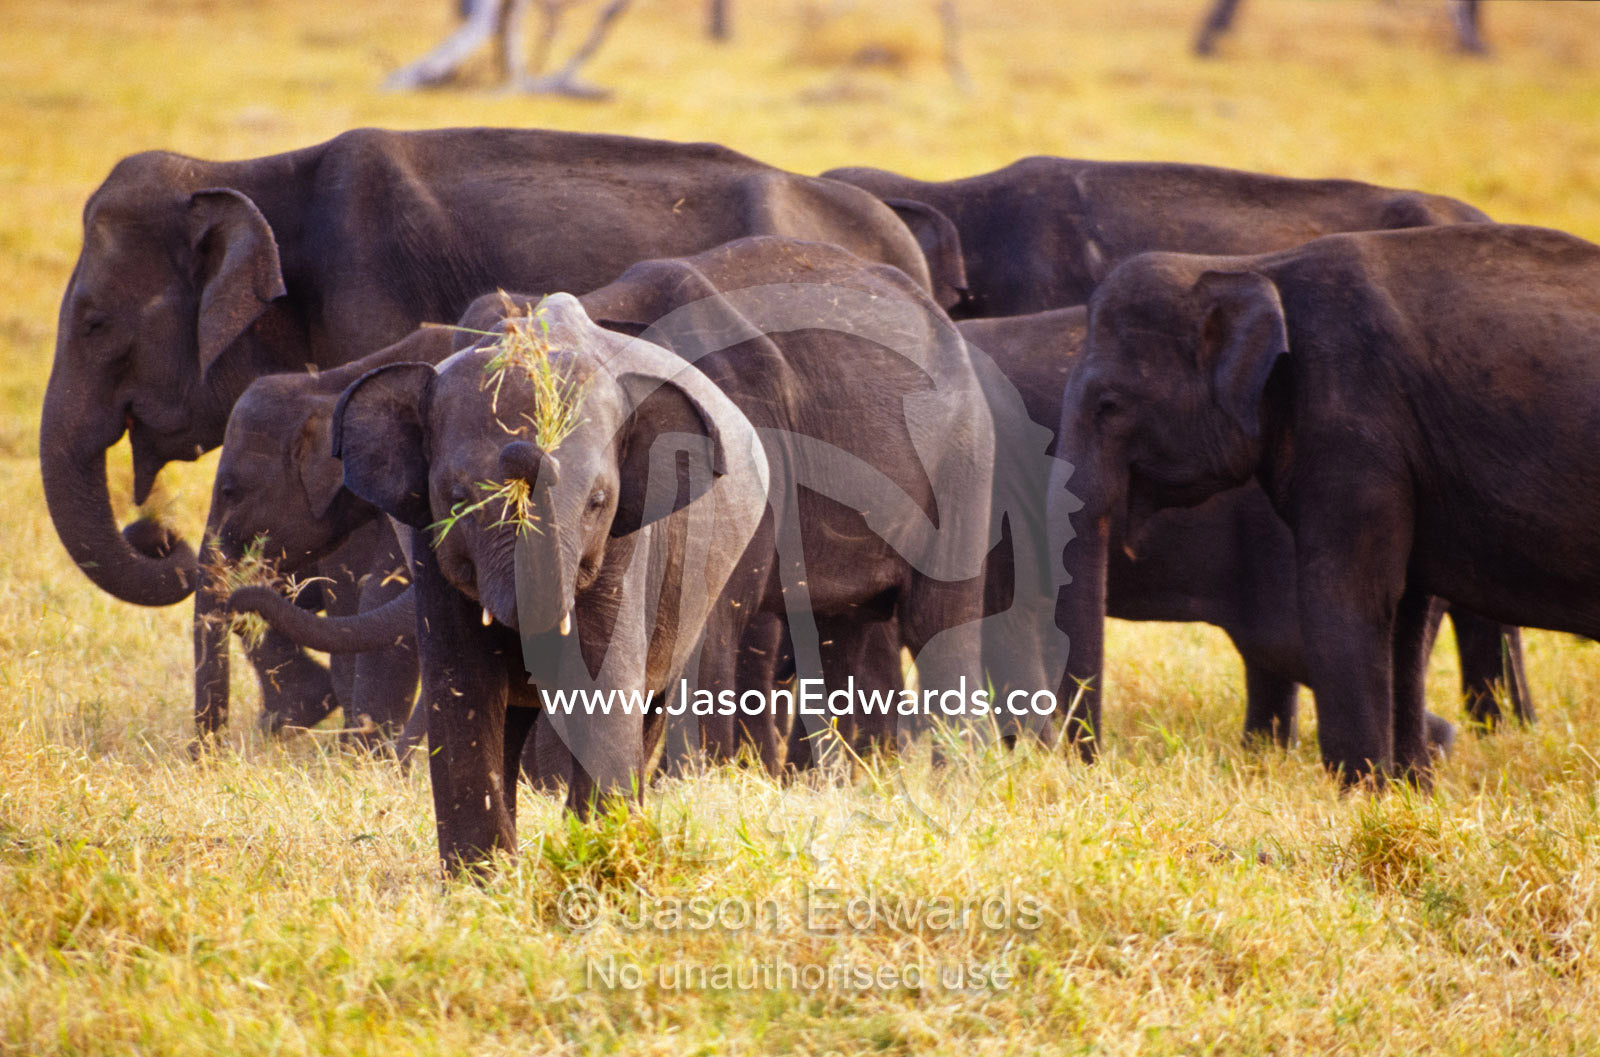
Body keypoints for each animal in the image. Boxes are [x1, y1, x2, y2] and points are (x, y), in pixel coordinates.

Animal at [42, 125, 942, 734]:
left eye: (93, 322)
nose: (156, 532)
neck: (242, 174)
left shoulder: (370, 300)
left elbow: (374, 553)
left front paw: (350, 730)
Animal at [1057, 223, 1600, 784]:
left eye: (1109, 405)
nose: (1088, 765)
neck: (1253, 266)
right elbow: (1401, 610)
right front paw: (1407, 790)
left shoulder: (1354, 427)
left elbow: (1348, 594)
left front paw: (1363, 794)